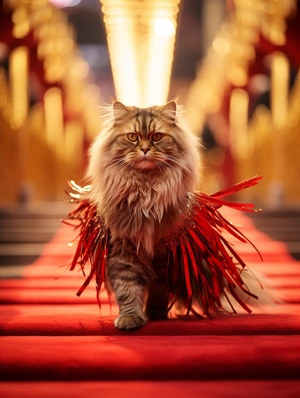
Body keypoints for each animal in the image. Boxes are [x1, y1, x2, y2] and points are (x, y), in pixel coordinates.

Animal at [85, 100, 200, 330]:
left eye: (157, 137)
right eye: (132, 137)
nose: (145, 149)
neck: (145, 191)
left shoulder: (164, 253)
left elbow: (158, 290)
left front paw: (155, 314)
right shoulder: (123, 248)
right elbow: (127, 288)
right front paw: (130, 318)